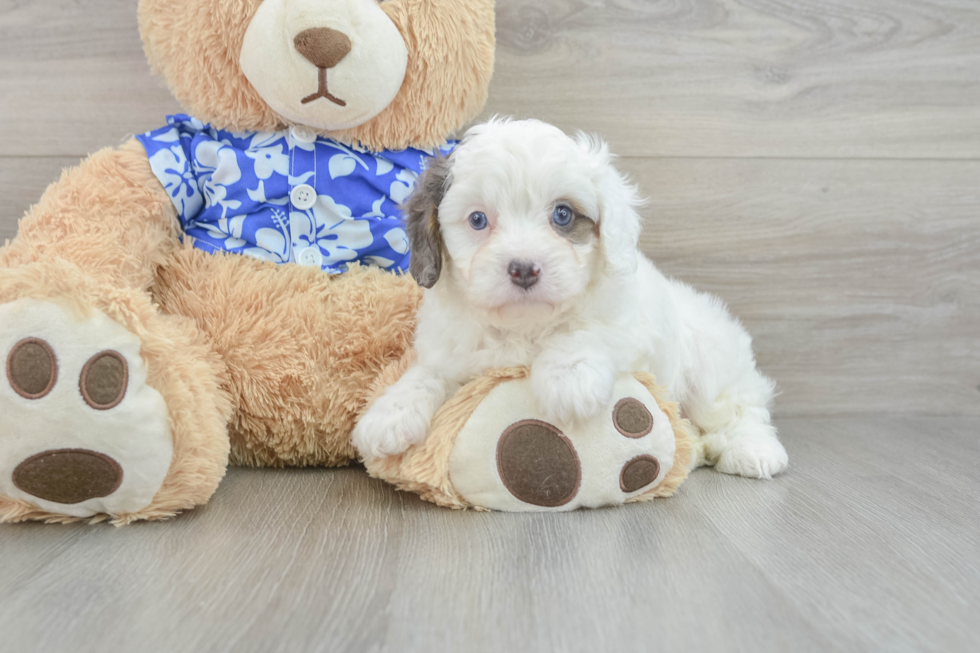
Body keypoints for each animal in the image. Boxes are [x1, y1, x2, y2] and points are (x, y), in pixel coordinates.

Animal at [352, 117, 788, 476]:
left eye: (562, 215)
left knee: (740, 407)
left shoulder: (631, 326)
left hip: (710, 362)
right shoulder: (451, 350)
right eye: (478, 220)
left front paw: (567, 378)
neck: (525, 326)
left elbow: (585, 331)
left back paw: (753, 450)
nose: (524, 268)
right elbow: (428, 374)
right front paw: (389, 413)